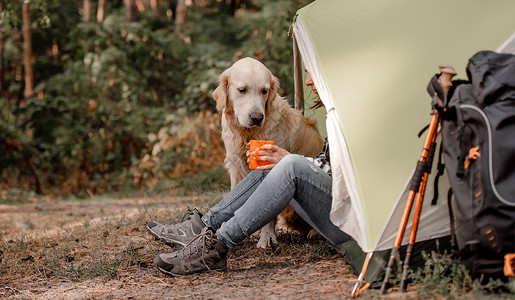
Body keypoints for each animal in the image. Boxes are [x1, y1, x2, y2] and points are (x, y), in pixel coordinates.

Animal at [212, 56, 324, 248]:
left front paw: (267, 238)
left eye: (264, 91)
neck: (247, 134)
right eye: (242, 90)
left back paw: (315, 233)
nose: (257, 118)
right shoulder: (234, 165)